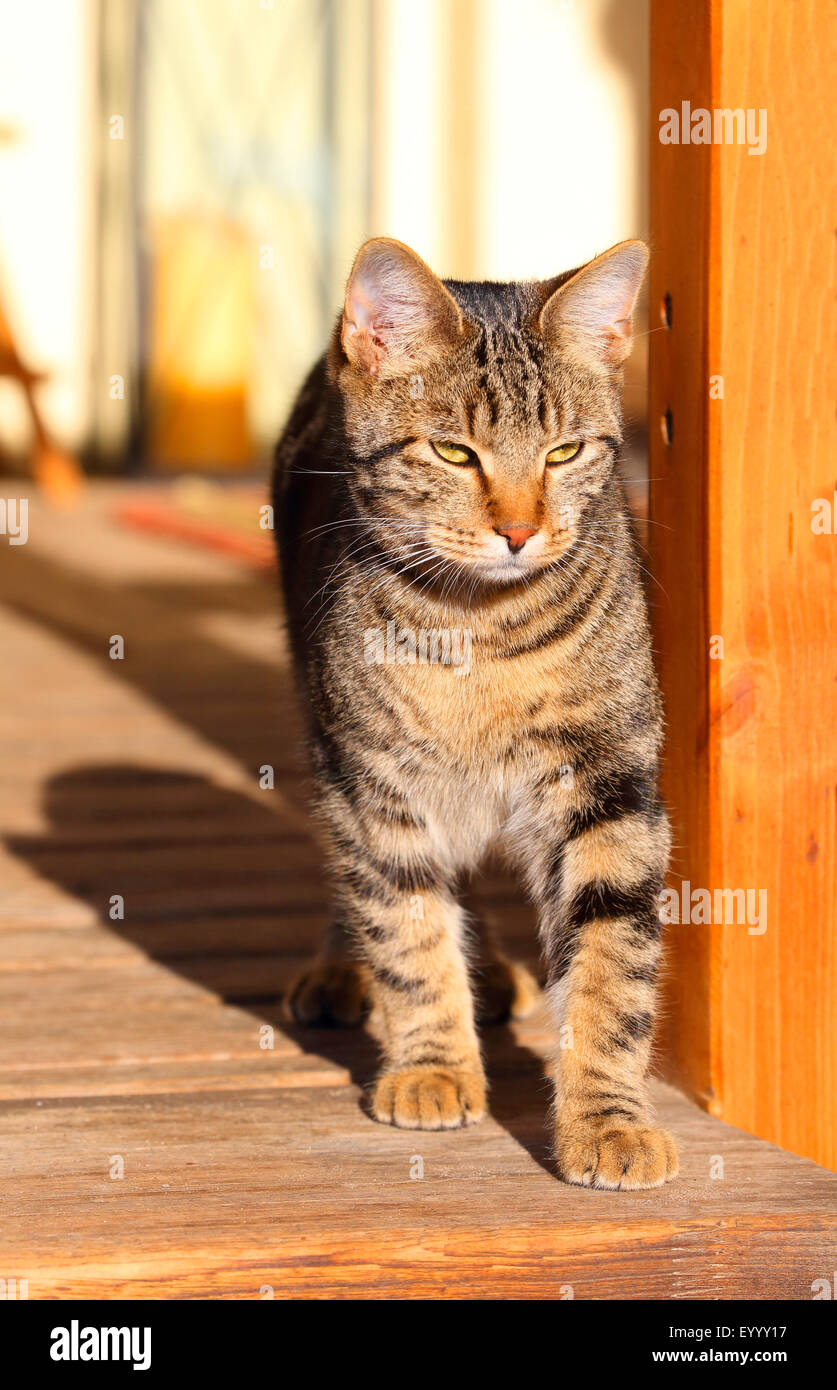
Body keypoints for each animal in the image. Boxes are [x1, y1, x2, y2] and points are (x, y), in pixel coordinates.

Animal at [273, 233, 678, 1189]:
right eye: (454, 454)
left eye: (564, 453)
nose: (520, 531)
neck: (483, 633)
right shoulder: (373, 782)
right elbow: (407, 928)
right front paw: (431, 1064)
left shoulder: (608, 787)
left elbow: (611, 964)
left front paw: (608, 1118)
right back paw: (346, 968)